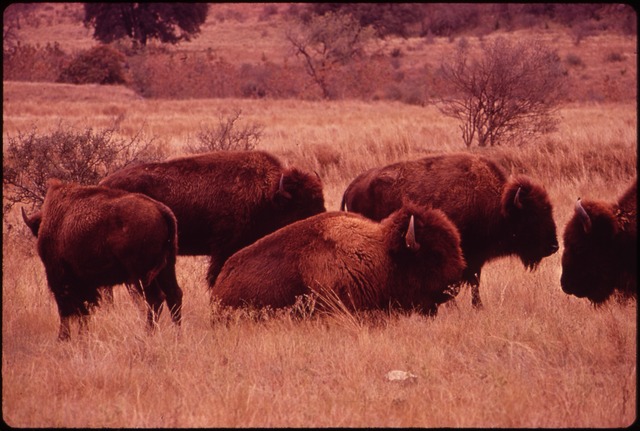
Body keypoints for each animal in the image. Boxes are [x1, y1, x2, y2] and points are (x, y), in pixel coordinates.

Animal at [23, 179, 183, 340]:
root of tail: (161, 210)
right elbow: (82, 312)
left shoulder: (60, 278)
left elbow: (66, 310)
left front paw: (63, 338)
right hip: (166, 268)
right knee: (174, 295)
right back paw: (176, 334)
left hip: (141, 275)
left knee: (155, 298)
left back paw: (147, 334)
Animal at [99, 151, 326, 297]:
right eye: (301, 206)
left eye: (320, 200)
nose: (322, 219)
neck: (267, 194)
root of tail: (104, 183)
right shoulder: (223, 248)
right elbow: (215, 276)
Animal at [341, 152, 559, 308]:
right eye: (532, 216)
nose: (554, 247)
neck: (498, 205)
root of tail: (352, 186)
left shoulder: (475, 259)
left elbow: (475, 282)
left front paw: (477, 306)